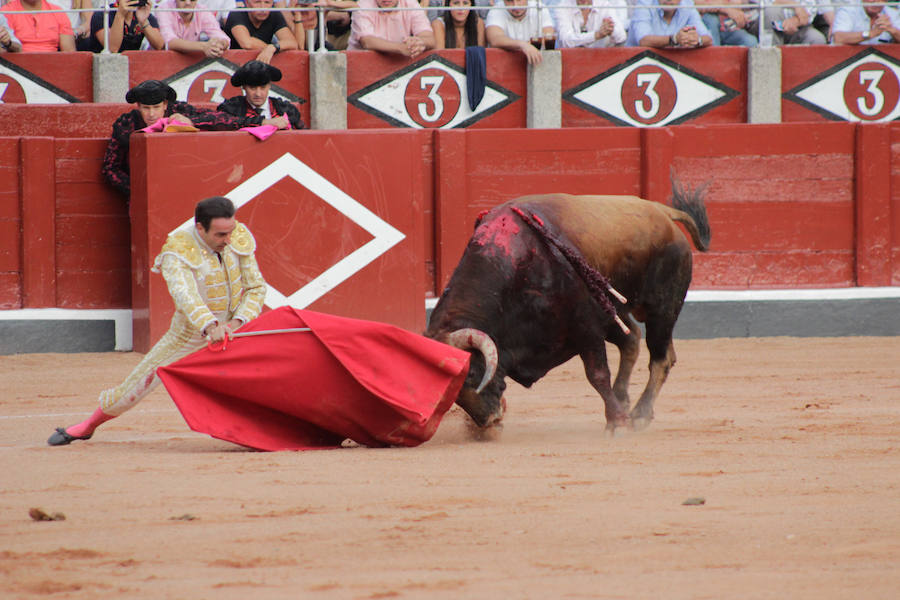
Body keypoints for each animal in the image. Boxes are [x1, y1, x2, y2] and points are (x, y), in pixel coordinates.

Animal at [426, 180, 712, 434]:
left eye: (472, 373)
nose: (489, 421)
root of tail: (663, 212)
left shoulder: (586, 327)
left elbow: (597, 374)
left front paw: (616, 423)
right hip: (614, 311)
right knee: (633, 340)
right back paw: (624, 399)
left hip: (662, 308)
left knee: (660, 358)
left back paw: (639, 416)